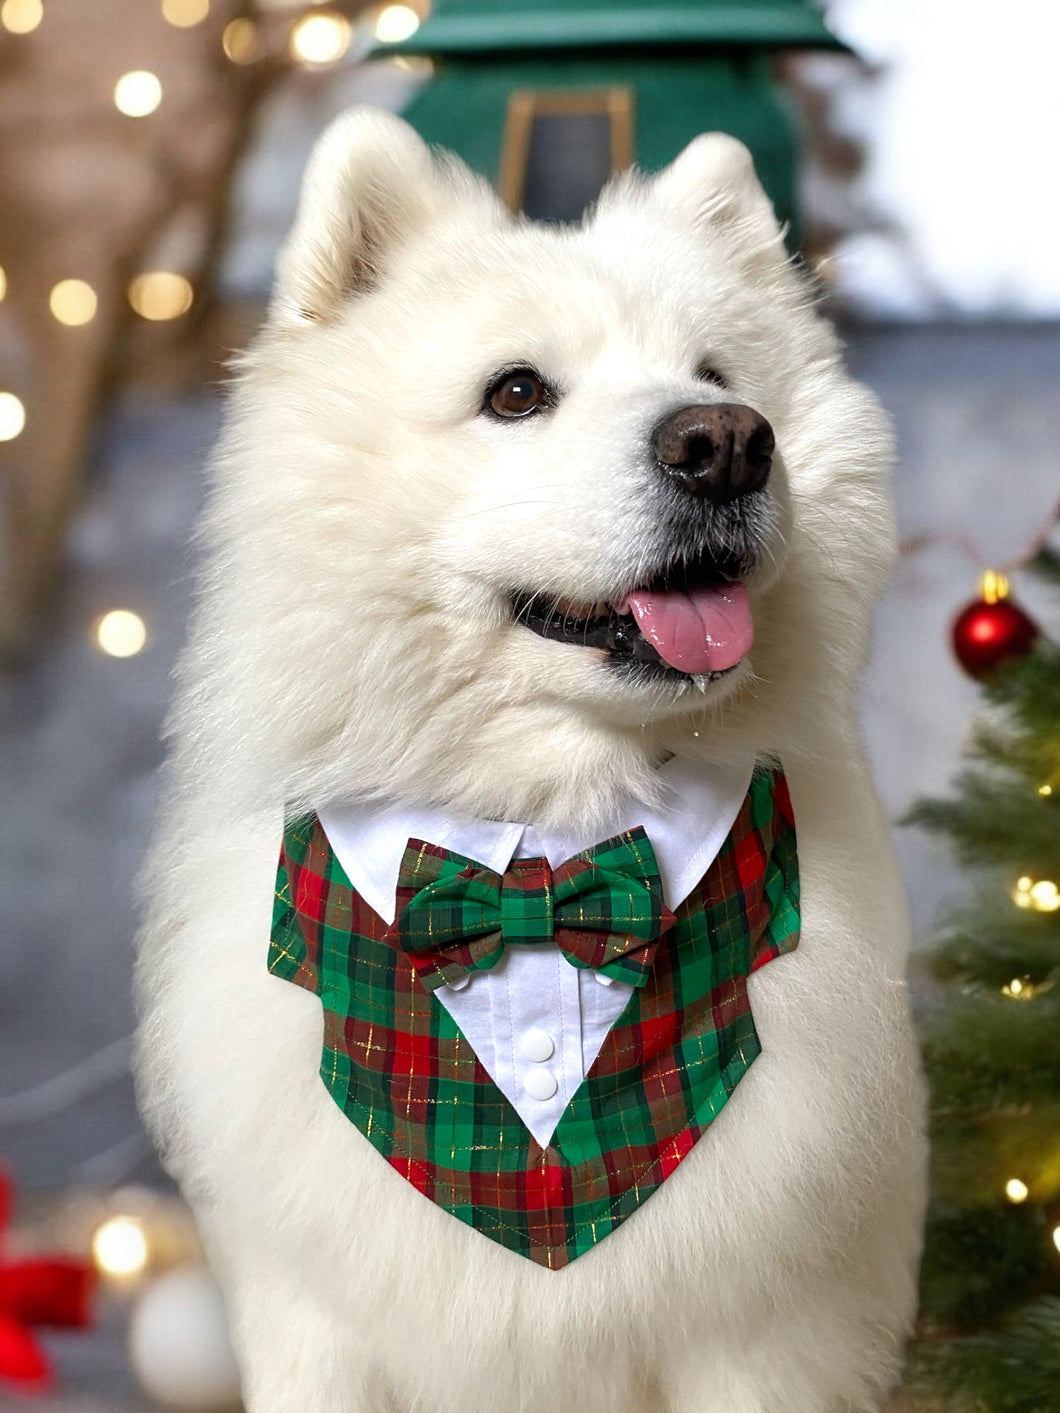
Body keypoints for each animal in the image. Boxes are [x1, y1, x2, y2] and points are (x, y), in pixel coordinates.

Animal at [134, 104, 927, 1407]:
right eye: (514, 394)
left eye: (719, 379)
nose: (726, 444)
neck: (544, 846)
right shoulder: (319, 1319)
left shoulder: (757, 1328)